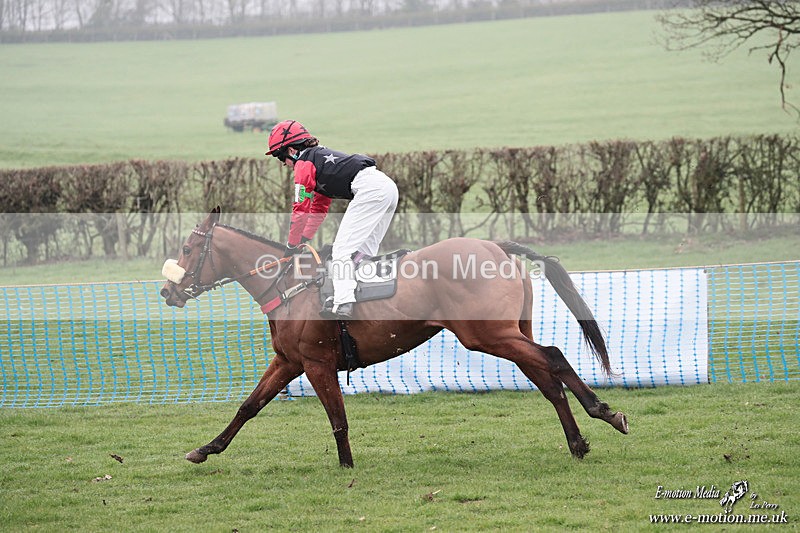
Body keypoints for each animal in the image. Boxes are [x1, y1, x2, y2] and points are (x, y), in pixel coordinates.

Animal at [160, 207, 628, 468]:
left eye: (186, 248)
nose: (166, 292)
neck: (290, 284)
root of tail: (495, 246)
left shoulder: (316, 363)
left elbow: (337, 418)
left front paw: (347, 467)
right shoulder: (288, 362)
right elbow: (248, 406)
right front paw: (205, 449)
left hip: (489, 336)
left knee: (554, 357)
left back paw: (604, 412)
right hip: (509, 334)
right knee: (548, 379)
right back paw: (578, 442)